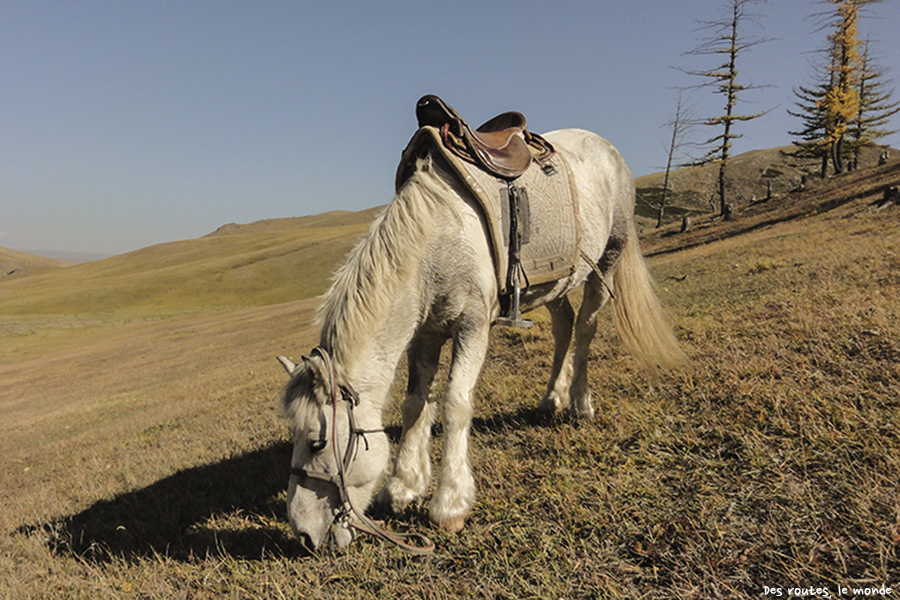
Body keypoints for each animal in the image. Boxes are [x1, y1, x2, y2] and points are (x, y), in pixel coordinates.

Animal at [278, 127, 684, 552]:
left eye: (317, 443)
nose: (304, 534)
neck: (436, 242)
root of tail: (607, 147)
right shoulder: (425, 333)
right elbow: (414, 404)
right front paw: (404, 487)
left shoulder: (472, 327)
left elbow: (455, 404)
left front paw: (450, 503)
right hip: (554, 282)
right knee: (564, 328)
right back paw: (551, 399)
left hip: (606, 262)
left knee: (586, 329)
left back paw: (580, 403)